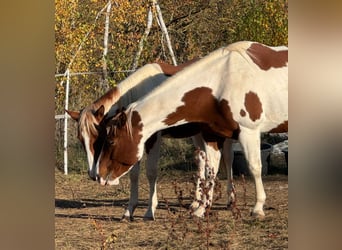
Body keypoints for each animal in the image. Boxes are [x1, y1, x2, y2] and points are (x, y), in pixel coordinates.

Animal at [65, 59, 234, 220]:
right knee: (201, 161)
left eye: (100, 137)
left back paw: (230, 200)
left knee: (227, 158)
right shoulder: (132, 142)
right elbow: (133, 174)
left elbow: (151, 172)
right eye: (81, 139)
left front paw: (149, 211)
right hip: (197, 133)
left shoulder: (153, 139)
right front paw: (129, 211)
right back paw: (196, 203)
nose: (92, 174)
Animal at [95, 41, 288, 217]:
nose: (100, 175)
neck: (221, 82)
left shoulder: (249, 131)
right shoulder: (212, 135)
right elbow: (210, 171)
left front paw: (258, 207)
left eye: (111, 141)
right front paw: (201, 209)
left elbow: (254, 167)